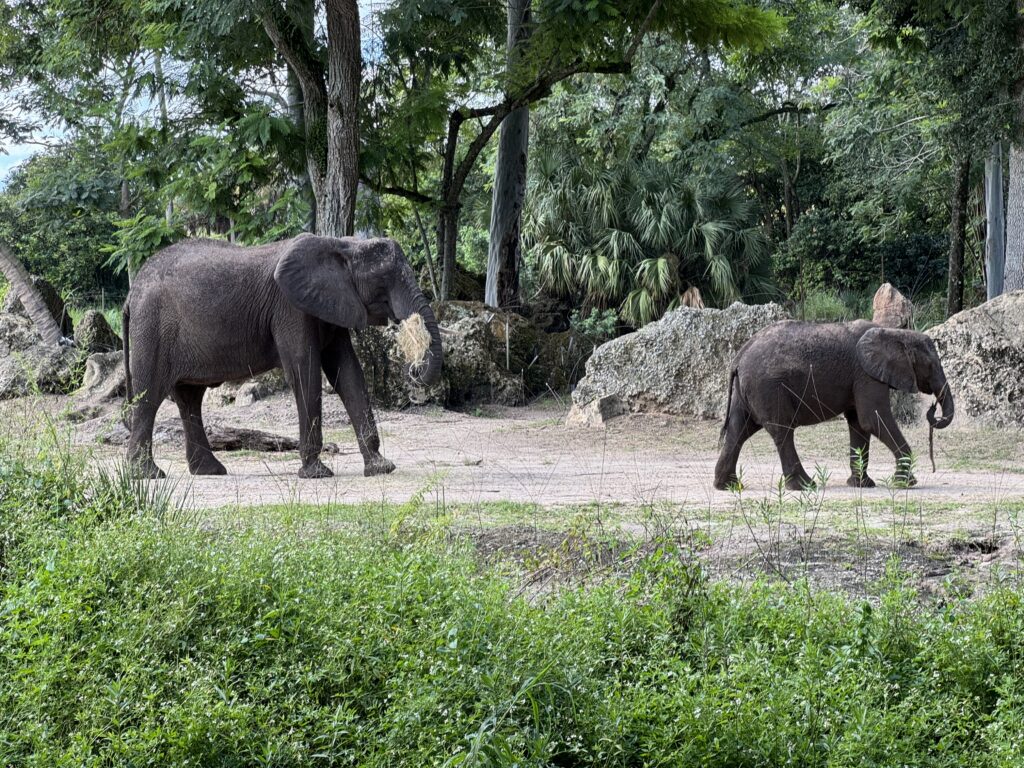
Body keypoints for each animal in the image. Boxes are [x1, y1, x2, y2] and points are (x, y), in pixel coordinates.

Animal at [122, 233, 442, 479]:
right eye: (383, 281)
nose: (414, 368)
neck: (343, 245)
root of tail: (131, 294)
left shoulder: (331, 306)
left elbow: (348, 373)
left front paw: (381, 468)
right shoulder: (291, 310)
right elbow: (305, 370)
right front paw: (316, 474)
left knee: (190, 398)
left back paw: (209, 471)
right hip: (152, 327)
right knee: (150, 395)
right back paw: (147, 475)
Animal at [713, 320, 954, 491]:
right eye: (931, 365)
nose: (932, 410)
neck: (894, 333)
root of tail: (739, 357)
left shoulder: (861, 378)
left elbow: (860, 424)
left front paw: (862, 485)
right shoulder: (866, 375)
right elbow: (873, 419)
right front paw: (906, 483)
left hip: (749, 390)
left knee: (738, 430)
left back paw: (729, 486)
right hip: (769, 388)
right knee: (782, 431)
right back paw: (804, 486)